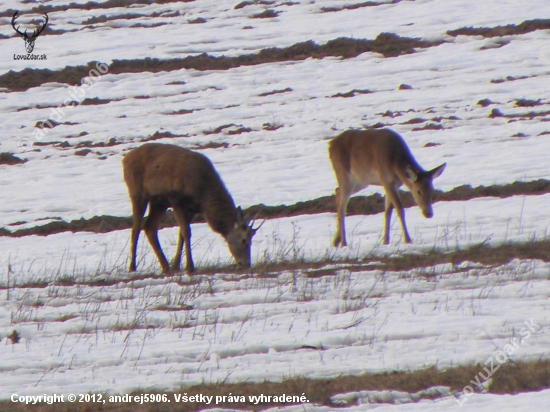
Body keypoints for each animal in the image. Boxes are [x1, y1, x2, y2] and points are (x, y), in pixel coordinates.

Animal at [124, 142, 264, 274]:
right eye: (243, 240)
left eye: (251, 240)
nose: (246, 264)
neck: (202, 195)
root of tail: (125, 159)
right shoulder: (176, 200)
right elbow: (186, 232)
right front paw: (190, 266)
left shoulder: (191, 209)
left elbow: (181, 234)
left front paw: (176, 266)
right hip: (137, 193)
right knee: (136, 229)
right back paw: (132, 267)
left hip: (159, 202)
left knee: (150, 227)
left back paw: (166, 266)